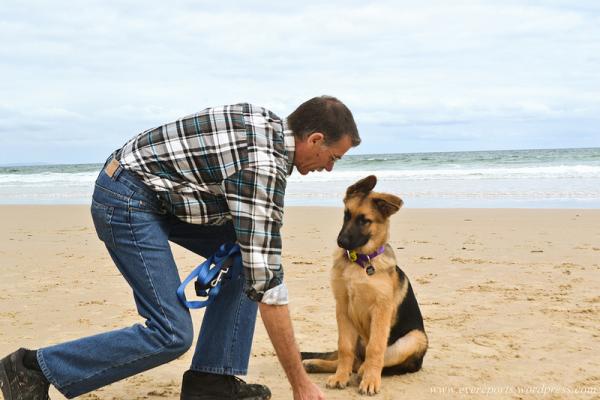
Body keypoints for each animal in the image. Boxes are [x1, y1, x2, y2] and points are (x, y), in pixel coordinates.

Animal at [302, 177, 428, 396]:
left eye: (364, 221)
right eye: (346, 214)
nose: (341, 242)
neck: (359, 262)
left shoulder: (381, 310)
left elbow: (375, 348)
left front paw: (370, 380)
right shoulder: (342, 307)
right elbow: (344, 347)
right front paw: (340, 377)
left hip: (415, 337)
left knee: (374, 359)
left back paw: (364, 371)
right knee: (353, 359)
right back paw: (315, 363)